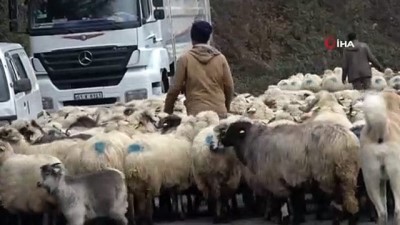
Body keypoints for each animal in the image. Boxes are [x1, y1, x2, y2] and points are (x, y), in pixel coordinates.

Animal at [214, 120, 360, 224]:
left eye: (231, 132)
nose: (222, 141)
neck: (253, 143)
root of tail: (347, 141)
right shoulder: (295, 184)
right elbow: (295, 205)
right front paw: (296, 220)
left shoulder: (275, 184)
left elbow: (279, 207)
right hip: (348, 176)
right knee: (351, 204)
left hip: (329, 177)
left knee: (339, 205)